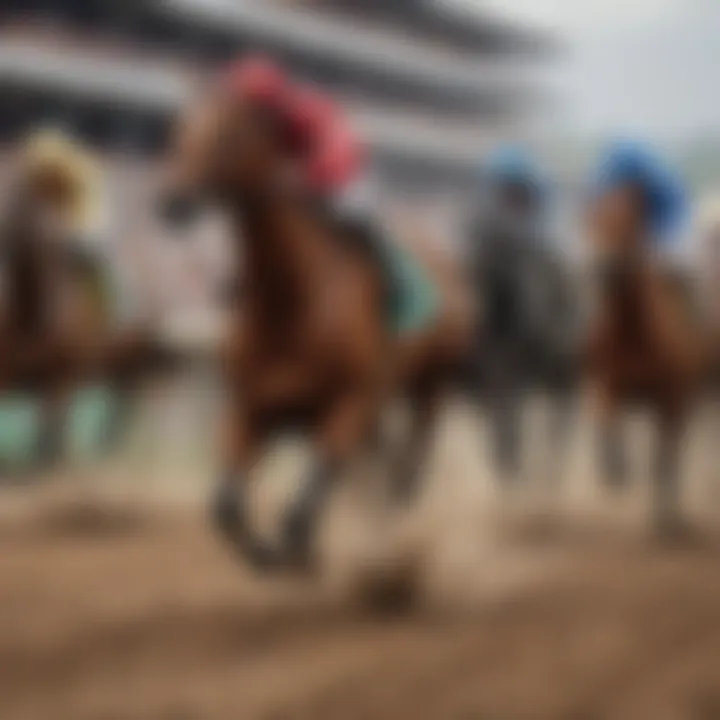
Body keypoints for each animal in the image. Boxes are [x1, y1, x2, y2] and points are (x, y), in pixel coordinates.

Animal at [158, 84, 472, 572]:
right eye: (180, 127)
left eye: (229, 134)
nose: (172, 201)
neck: (292, 299)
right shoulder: (253, 407)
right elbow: (226, 505)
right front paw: (269, 554)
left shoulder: (347, 402)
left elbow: (300, 509)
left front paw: (297, 555)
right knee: (383, 469)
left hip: (433, 380)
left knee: (410, 464)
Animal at [588, 186, 704, 536]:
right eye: (592, 219)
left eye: (630, 223)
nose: (604, 267)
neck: (633, 334)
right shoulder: (605, 381)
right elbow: (604, 417)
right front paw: (616, 469)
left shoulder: (670, 398)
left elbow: (662, 462)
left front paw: (665, 517)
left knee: (668, 458)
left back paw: (669, 516)